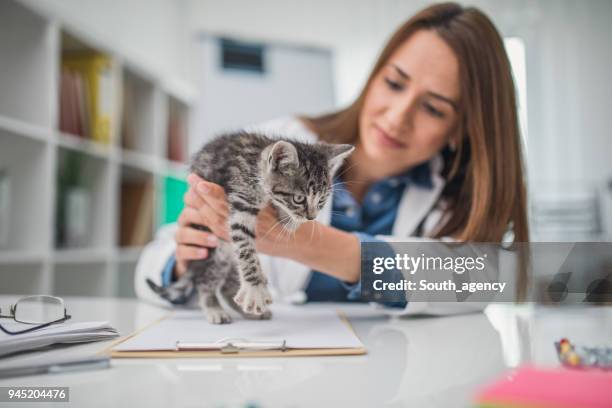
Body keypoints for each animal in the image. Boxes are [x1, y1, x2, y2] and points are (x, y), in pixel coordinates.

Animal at [146, 132, 354, 324]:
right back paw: (214, 308)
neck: (256, 162)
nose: (311, 217)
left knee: (226, 283)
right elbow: (245, 247)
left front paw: (288, 219)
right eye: (299, 198)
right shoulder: (241, 200)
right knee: (205, 279)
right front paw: (254, 288)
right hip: (213, 242)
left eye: (321, 200)